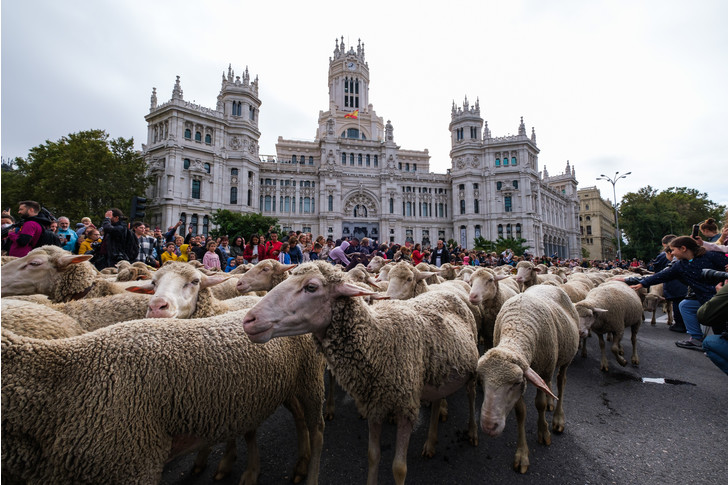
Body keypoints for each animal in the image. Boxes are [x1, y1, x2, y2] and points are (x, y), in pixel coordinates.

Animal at [0, 310, 324, 484]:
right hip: (270, 389)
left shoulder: (135, 466)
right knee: (283, 423)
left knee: (315, 427)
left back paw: (307, 470)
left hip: (308, 379)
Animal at [242, 260, 480, 484]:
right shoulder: (375, 403)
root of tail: (443, 292)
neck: (379, 339)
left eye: (311, 287)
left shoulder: (407, 407)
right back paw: (430, 443)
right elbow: (372, 455)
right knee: (439, 400)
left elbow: (399, 468)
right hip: (440, 371)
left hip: (470, 370)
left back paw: (472, 432)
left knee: (471, 395)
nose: (249, 320)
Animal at [478, 284, 580, 472]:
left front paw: (544, 432)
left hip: (565, 359)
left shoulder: (539, 372)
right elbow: (520, 412)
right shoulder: (526, 382)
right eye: (481, 381)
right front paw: (522, 454)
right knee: (549, 384)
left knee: (561, 382)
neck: (518, 327)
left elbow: (539, 404)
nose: (489, 427)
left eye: (516, 382)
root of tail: (547, 284)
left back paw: (558, 418)